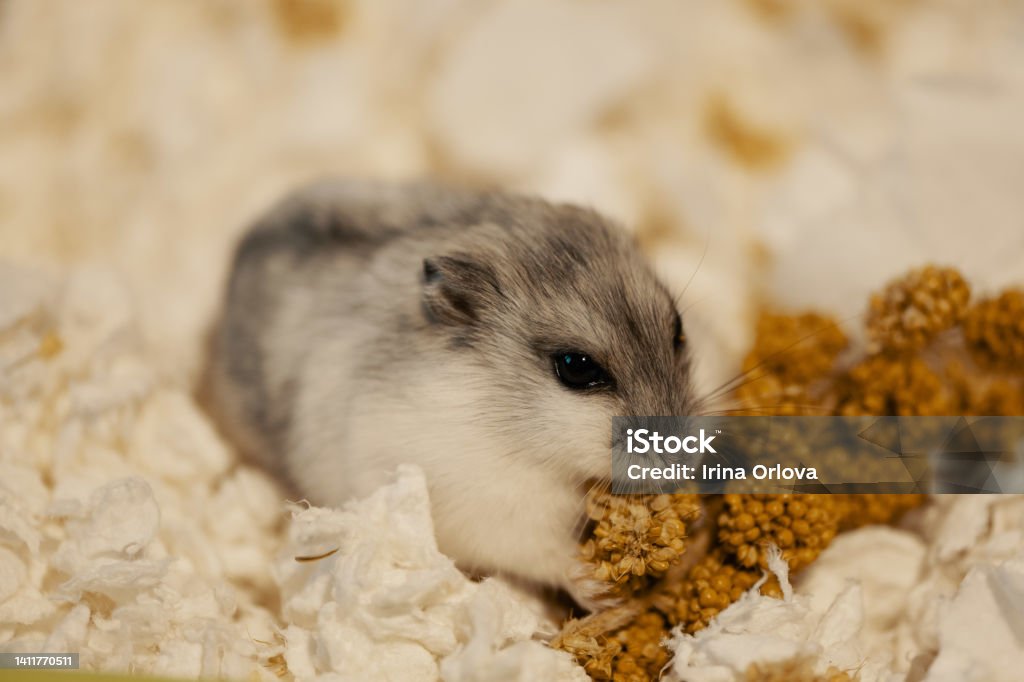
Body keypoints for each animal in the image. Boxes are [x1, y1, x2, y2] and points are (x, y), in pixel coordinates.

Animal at [202, 179, 699, 610]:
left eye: (678, 330)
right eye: (576, 368)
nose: (678, 460)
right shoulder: (491, 507)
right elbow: (546, 553)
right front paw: (606, 594)